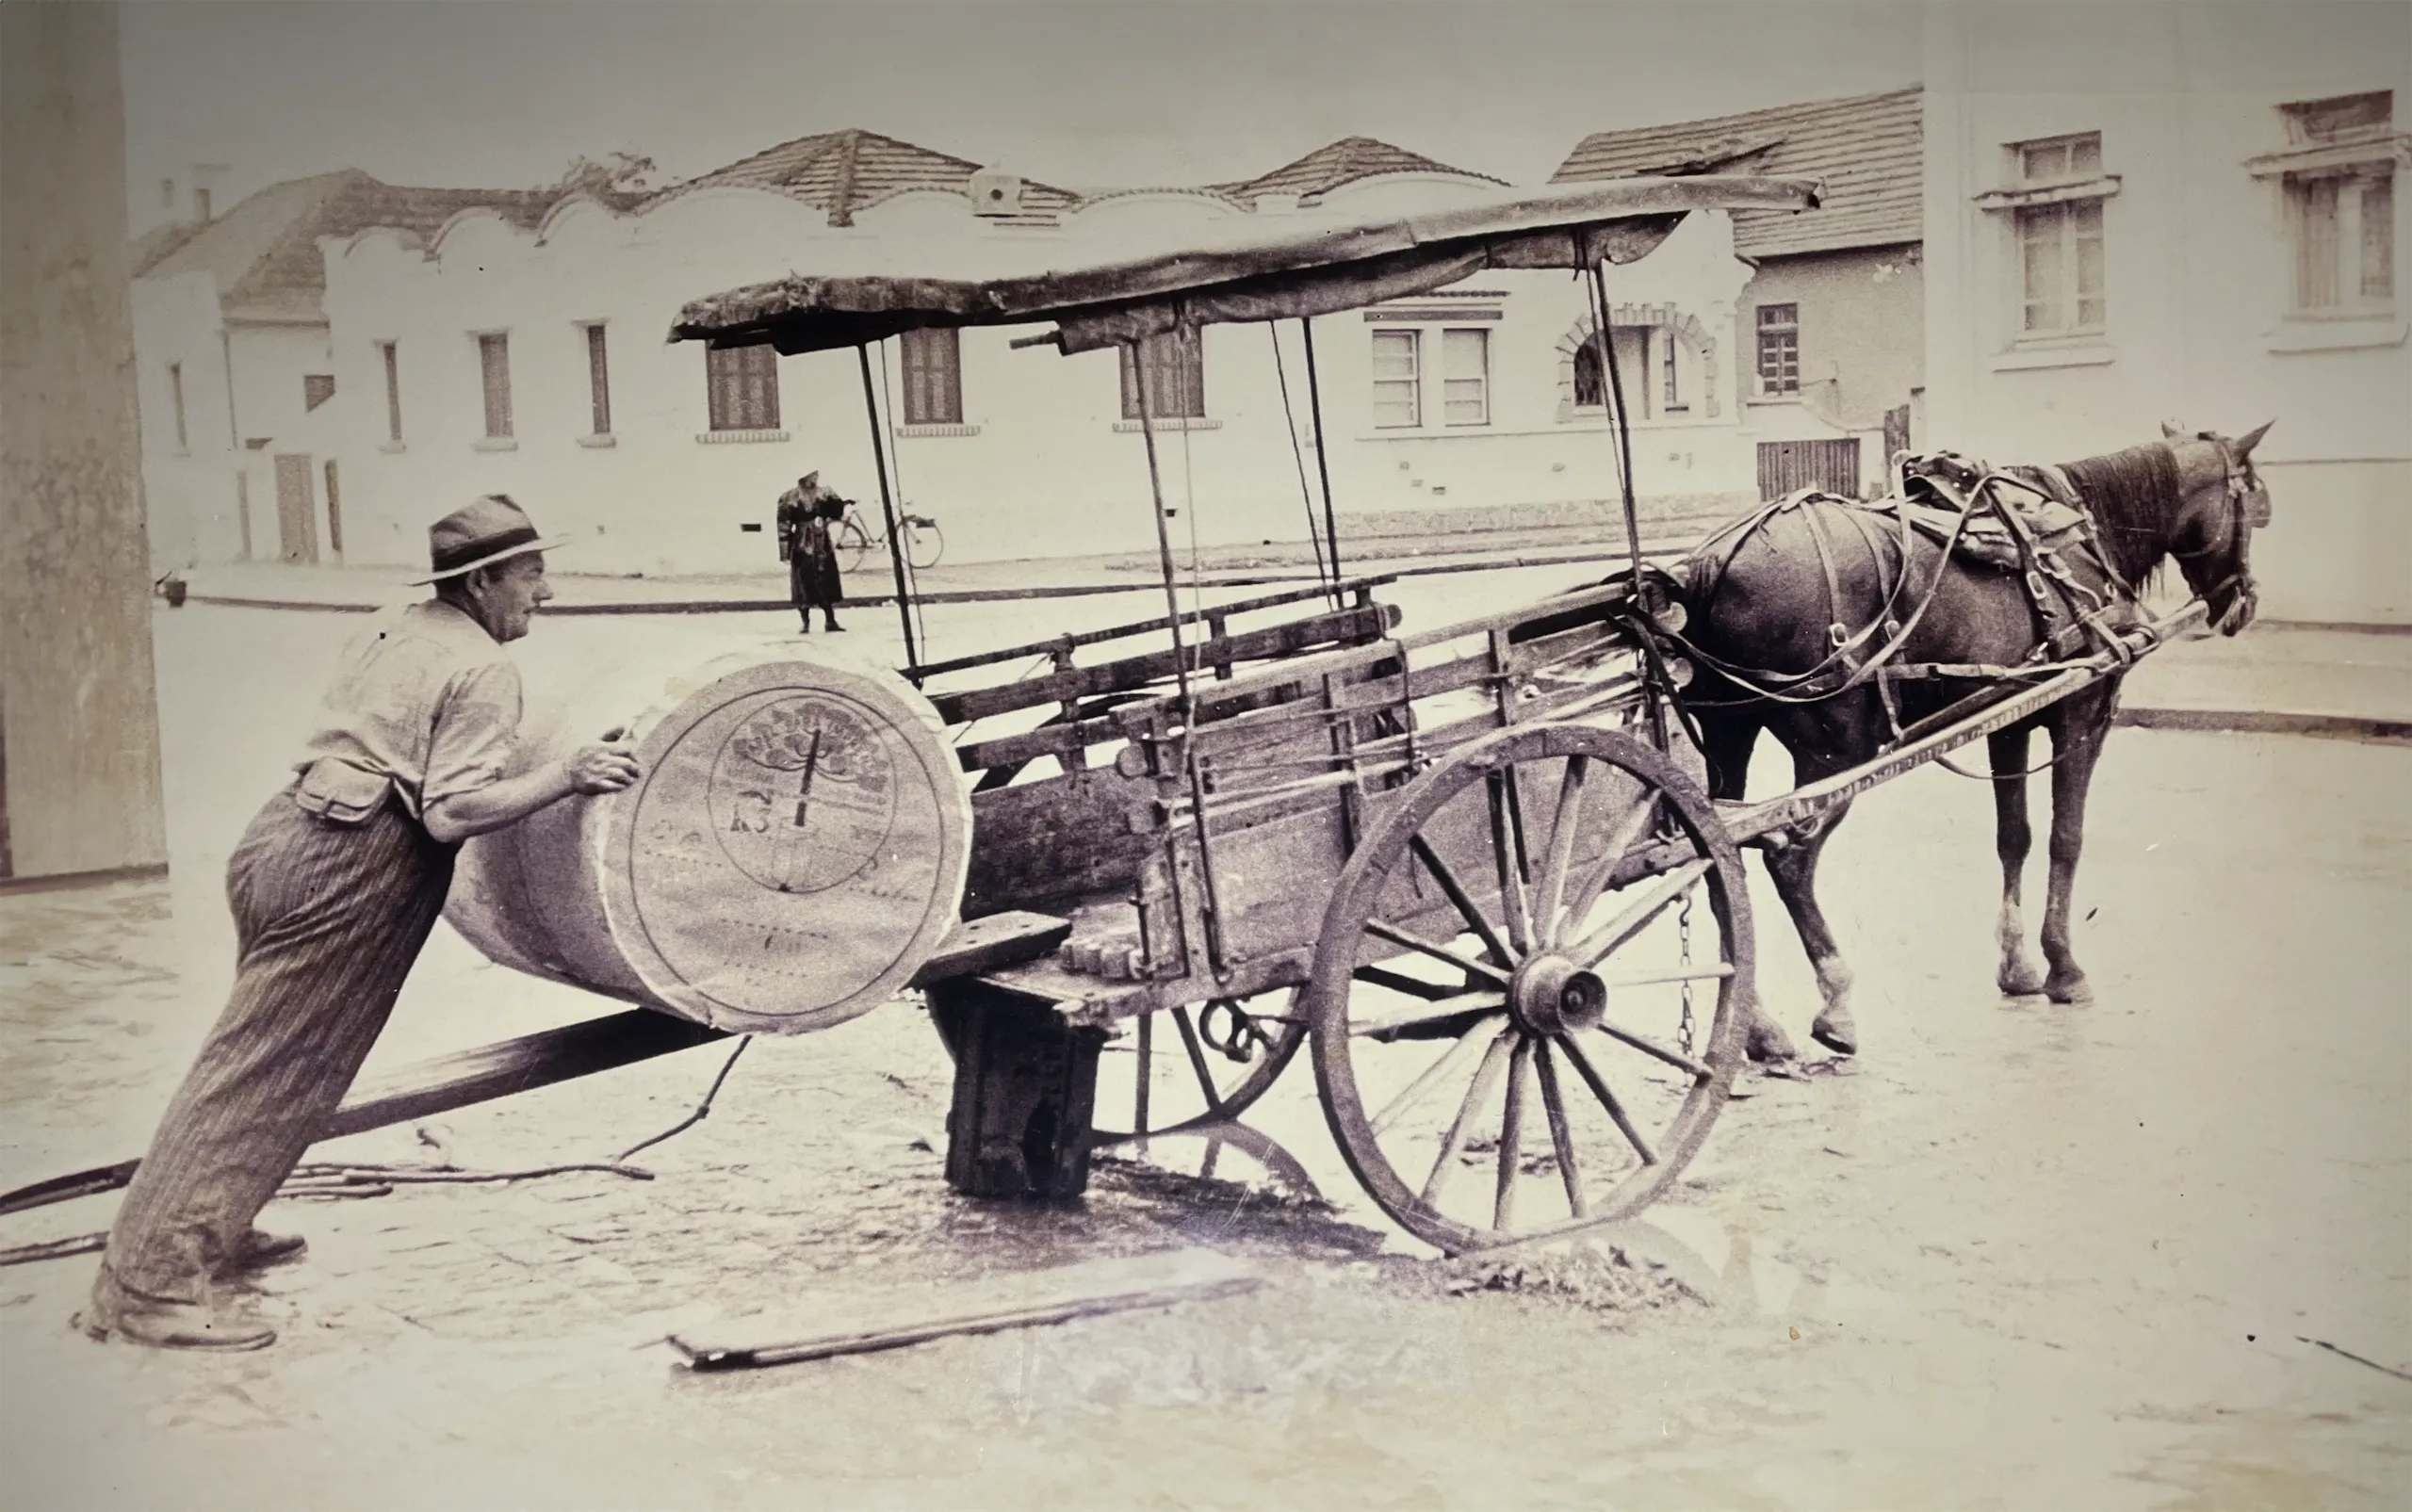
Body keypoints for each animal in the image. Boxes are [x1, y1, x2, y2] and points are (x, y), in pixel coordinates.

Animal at [1669, 416, 2267, 1065]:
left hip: (1729, 737)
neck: (2078, 534)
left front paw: (2018, 967)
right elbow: (2066, 838)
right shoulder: (2082, 711)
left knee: (1721, 858)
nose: (2245, 602)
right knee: (1788, 860)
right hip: (1836, 753)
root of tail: (1711, 562)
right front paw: (2064, 968)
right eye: (2255, 502)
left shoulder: (2008, 722)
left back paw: (1756, 1026)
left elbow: (2015, 837)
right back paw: (1835, 1004)